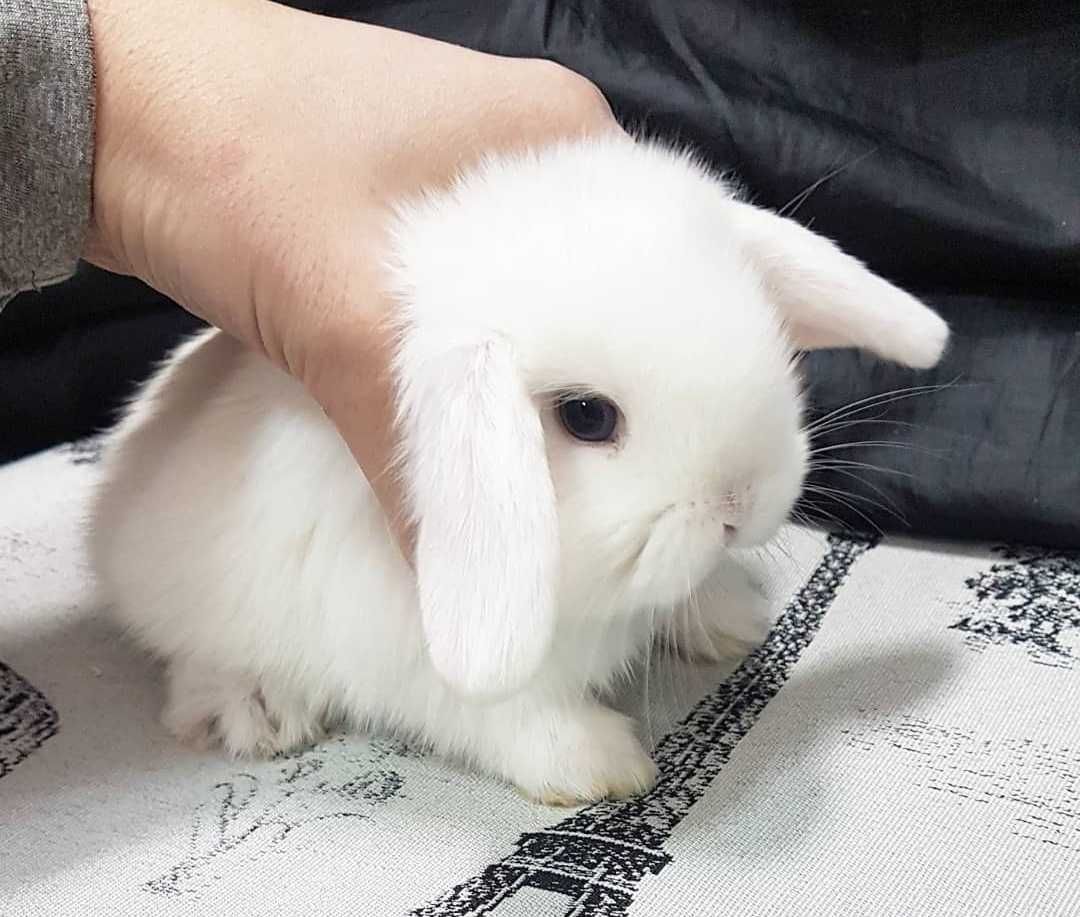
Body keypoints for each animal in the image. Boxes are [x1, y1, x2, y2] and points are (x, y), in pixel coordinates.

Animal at [90, 133, 946, 803]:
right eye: (587, 416)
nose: (742, 502)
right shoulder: (413, 650)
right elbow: (504, 711)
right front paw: (601, 763)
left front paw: (730, 615)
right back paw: (254, 708)